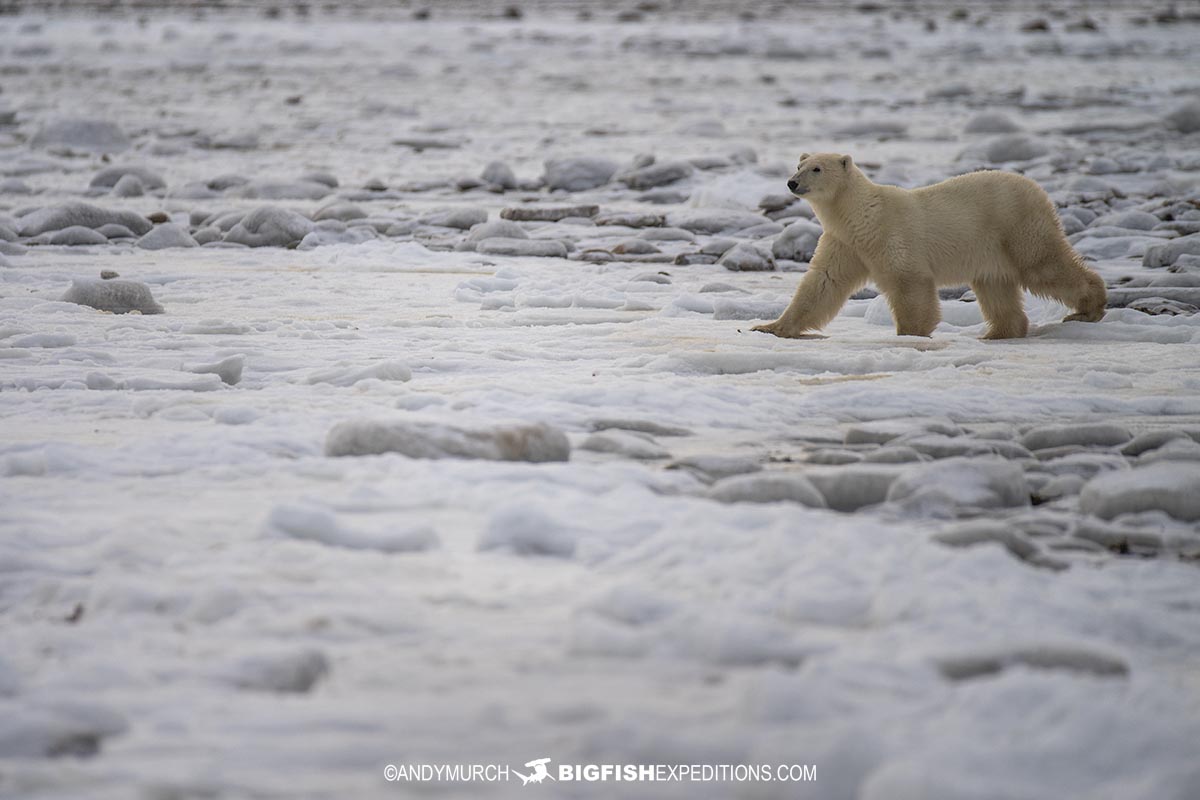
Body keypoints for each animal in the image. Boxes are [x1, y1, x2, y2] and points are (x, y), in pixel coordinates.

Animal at [753, 152, 1108, 338]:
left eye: (816, 168)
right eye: (798, 165)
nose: (792, 182)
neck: (861, 215)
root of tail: (1037, 189)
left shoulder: (891, 234)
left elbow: (910, 282)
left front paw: (911, 333)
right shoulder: (845, 243)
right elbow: (821, 283)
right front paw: (770, 326)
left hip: (1017, 226)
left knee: (1043, 265)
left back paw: (1088, 309)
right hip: (991, 247)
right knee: (995, 286)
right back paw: (998, 333)